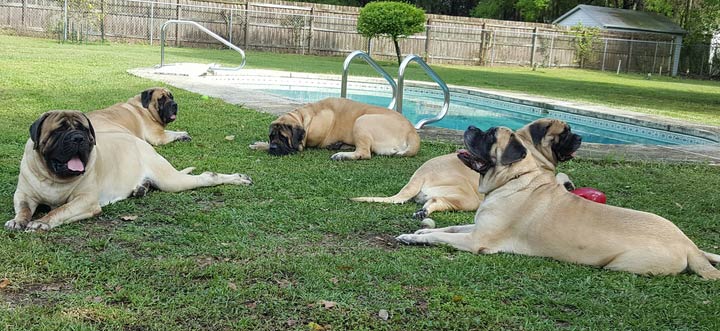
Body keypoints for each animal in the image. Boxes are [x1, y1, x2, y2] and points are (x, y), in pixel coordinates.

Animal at [5, 110, 252, 232]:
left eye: (85, 129)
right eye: (58, 130)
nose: (78, 138)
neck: (54, 178)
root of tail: (141, 142)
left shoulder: (86, 201)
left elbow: (60, 210)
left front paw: (42, 221)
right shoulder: (23, 195)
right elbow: (24, 208)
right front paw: (18, 220)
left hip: (172, 180)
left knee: (207, 177)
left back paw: (239, 179)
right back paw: (141, 188)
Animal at [249, 98, 422, 161]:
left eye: (284, 137)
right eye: (272, 136)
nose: (273, 147)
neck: (304, 117)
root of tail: (412, 132)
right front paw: (261, 144)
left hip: (362, 121)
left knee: (364, 153)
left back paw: (341, 154)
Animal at [352, 119, 584, 220]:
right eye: (565, 132)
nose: (580, 137)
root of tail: (418, 176)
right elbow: (561, 177)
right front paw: (568, 184)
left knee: (432, 202)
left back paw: (422, 212)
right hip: (467, 197)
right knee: (438, 201)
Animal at [396, 127, 720, 280]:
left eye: (489, 135)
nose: (472, 127)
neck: (515, 180)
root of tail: (687, 246)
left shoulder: (478, 240)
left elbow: (442, 236)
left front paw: (415, 237)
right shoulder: (476, 226)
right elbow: (448, 228)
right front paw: (420, 230)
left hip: (621, 264)